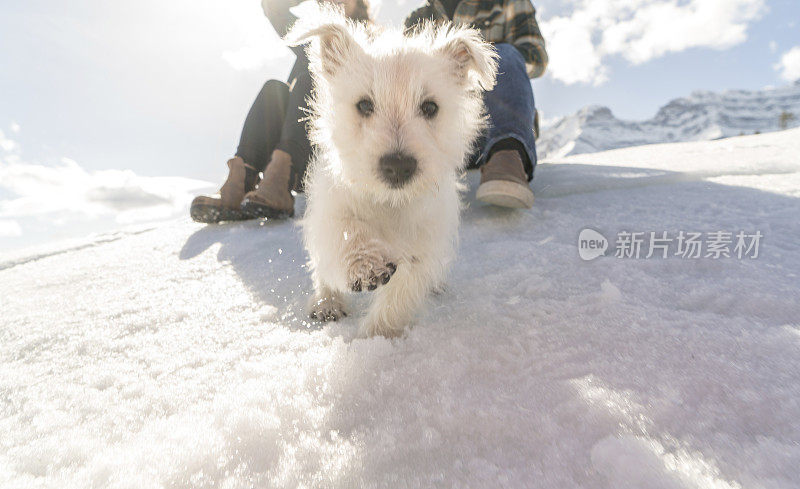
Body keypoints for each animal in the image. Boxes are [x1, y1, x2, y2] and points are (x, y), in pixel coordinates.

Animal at [290, 12, 496, 340]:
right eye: (364, 104)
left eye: (430, 107)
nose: (398, 165)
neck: (389, 201)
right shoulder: (331, 206)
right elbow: (346, 229)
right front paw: (365, 266)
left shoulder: (424, 237)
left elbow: (403, 289)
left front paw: (376, 337)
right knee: (323, 270)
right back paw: (327, 302)